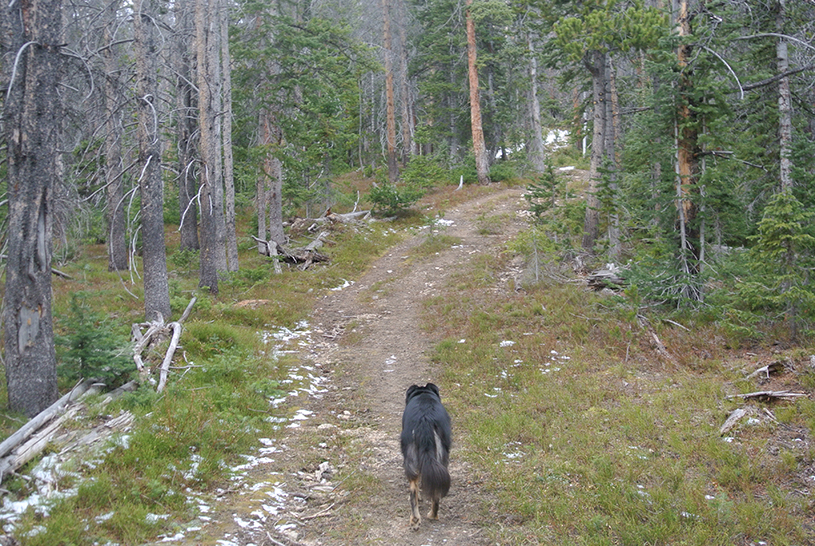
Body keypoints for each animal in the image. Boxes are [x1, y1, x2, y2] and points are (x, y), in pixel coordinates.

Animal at [402, 382, 452, 528]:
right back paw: (427, 517)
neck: (423, 394)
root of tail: (424, 420)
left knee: (413, 491)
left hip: (411, 457)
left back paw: (419, 518)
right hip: (440, 458)